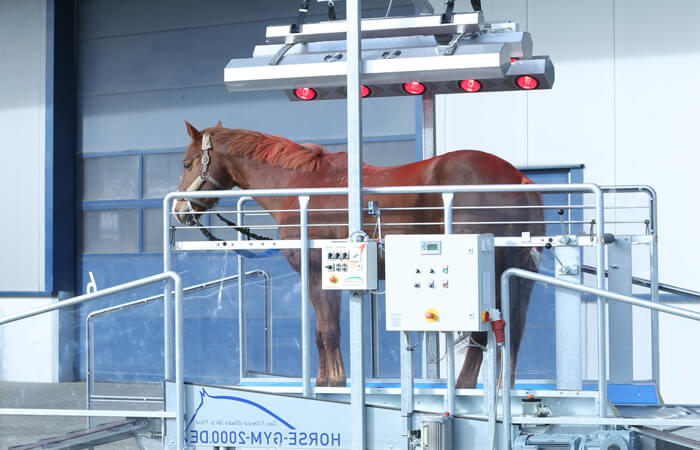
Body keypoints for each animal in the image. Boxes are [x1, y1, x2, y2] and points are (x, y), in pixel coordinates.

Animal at [172, 121, 544, 388]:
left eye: (188, 163)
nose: (179, 211)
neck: (301, 189)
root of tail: (518, 178)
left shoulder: (317, 273)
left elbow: (328, 330)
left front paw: (334, 383)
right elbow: (320, 333)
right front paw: (325, 380)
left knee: (486, 333)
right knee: (513, 329)